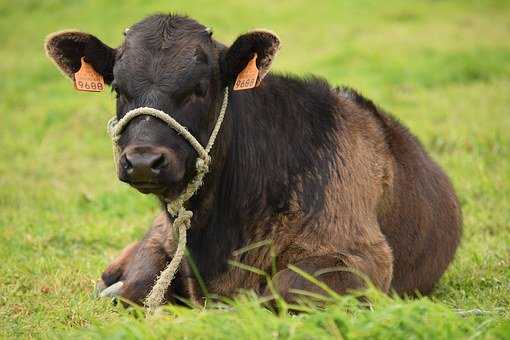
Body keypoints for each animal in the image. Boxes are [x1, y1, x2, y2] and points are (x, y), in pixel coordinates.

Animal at [45, 13, 462, 306]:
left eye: (200, 87)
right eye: (118, 88)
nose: (145, 160)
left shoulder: (360, 257)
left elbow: (281, 293)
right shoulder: (162, 244)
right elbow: (137, 287)